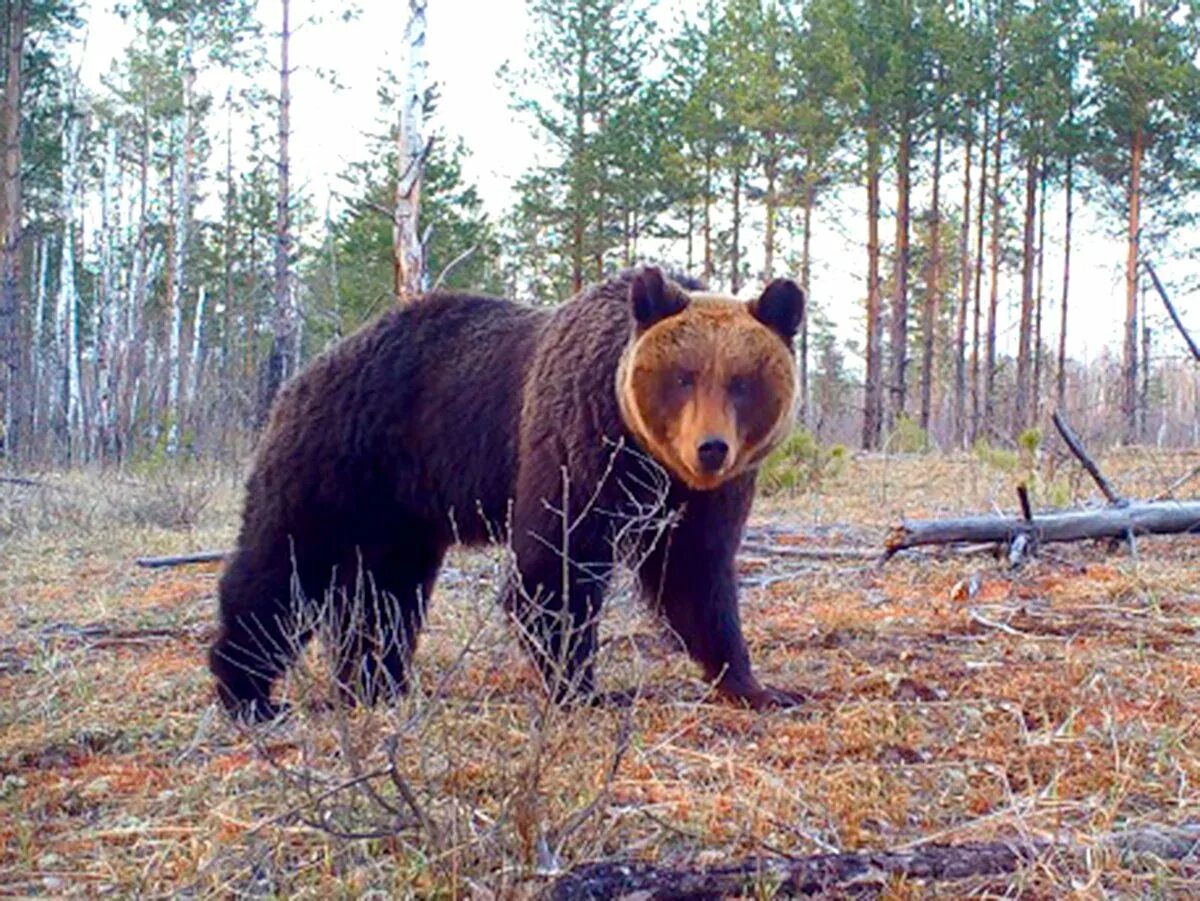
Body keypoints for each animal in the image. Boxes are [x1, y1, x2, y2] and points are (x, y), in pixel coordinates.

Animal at [208, 263, 806, 724]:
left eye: (741, 382)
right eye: (683, 377)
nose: (711, 448)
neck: (647, 457)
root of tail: (316, 364)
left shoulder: (701, 497)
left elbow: (695, 574)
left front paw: (759, 686)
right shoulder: (577, 443)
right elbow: (555, 567)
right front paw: (586, 690)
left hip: (402, 507)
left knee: (388, 592)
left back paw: (378, 685)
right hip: (342, 457)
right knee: (284, 563)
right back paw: (250, 694)